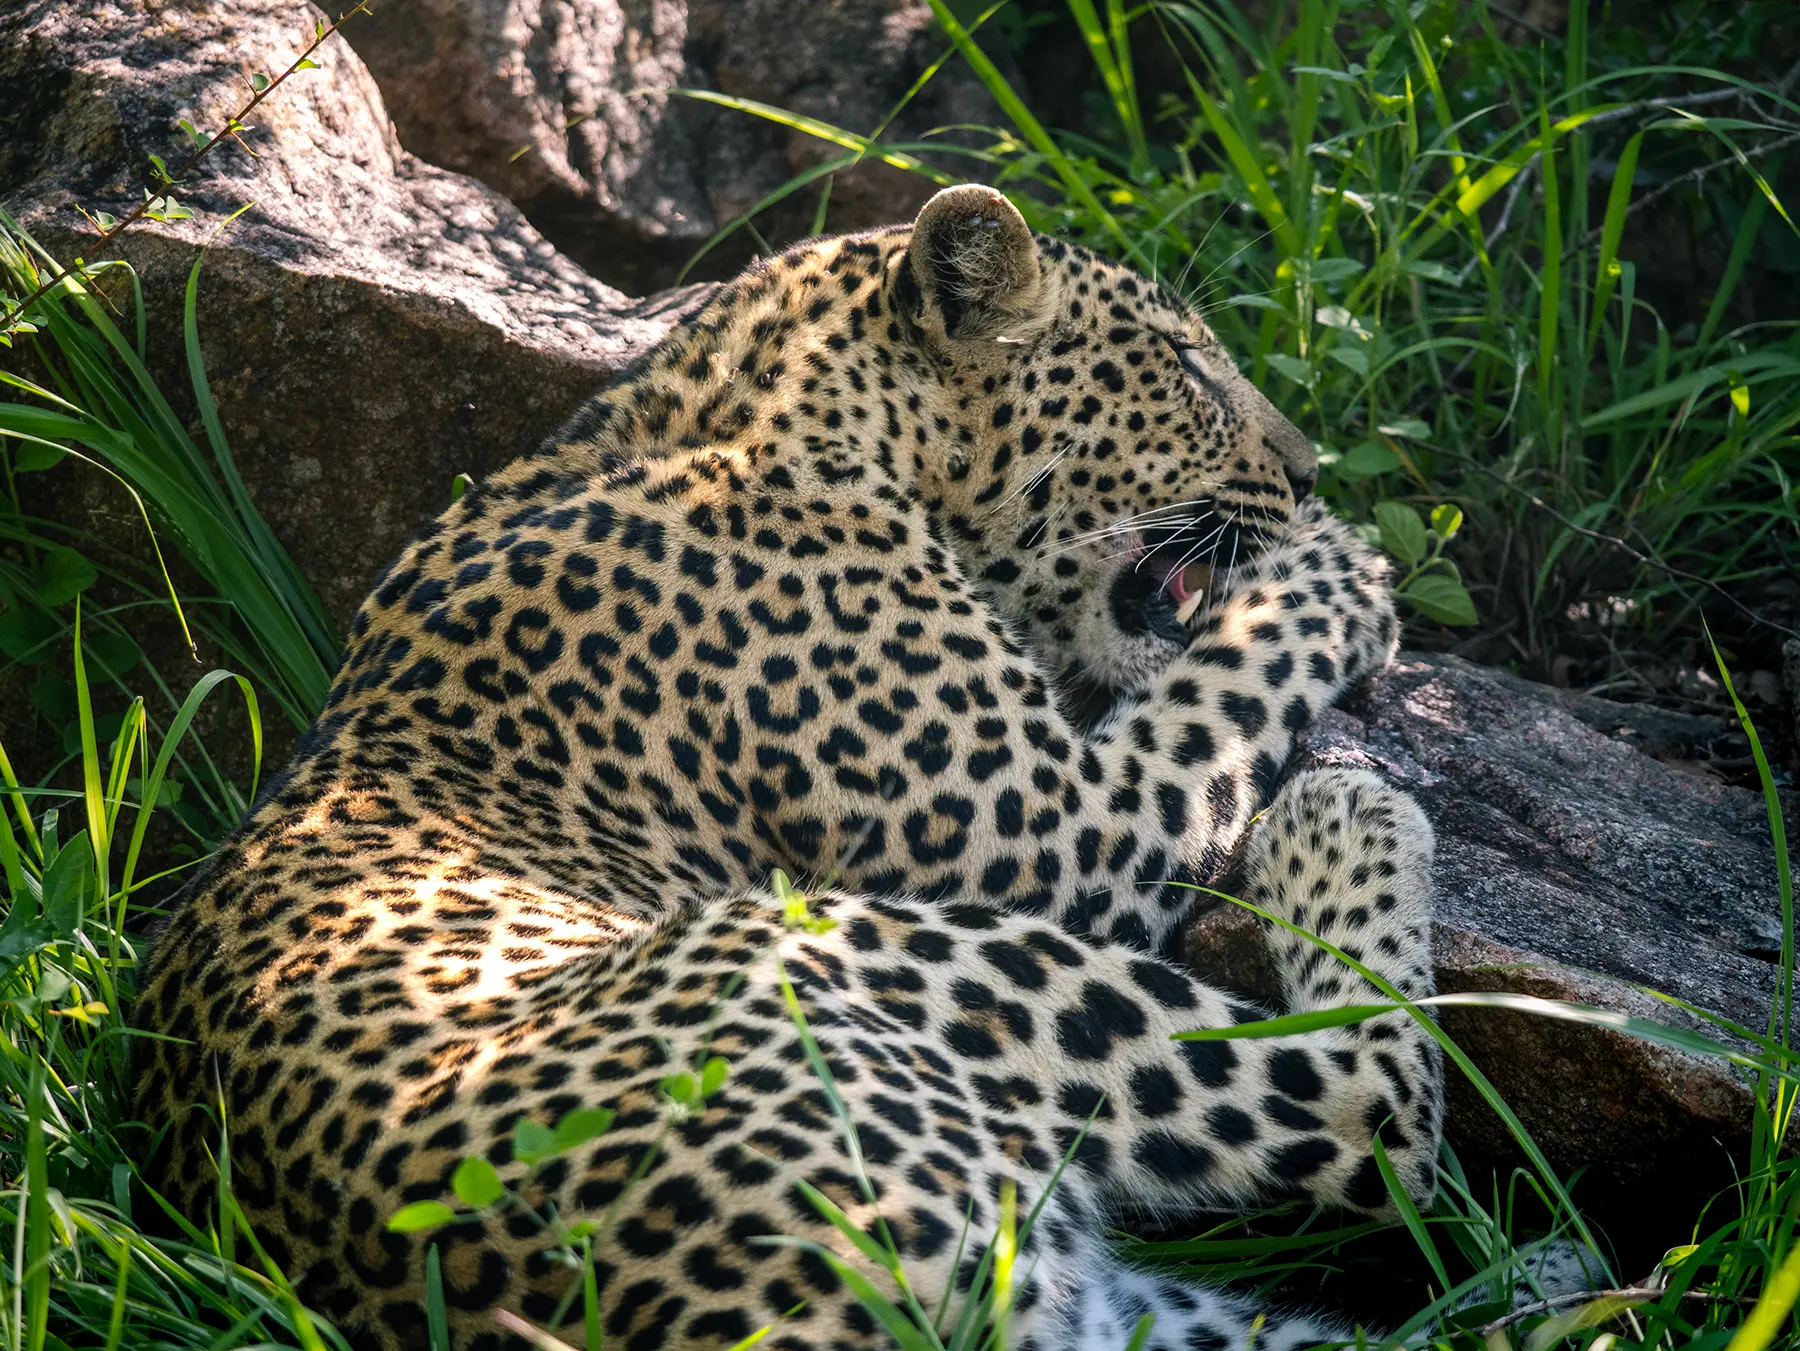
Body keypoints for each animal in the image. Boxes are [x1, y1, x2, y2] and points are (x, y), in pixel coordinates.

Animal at [132, 184, 1460, 1351]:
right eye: (1184, 363)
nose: (1310, 470)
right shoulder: (1066, 832)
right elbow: (1225, 682)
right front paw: (1339, 567)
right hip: (836, 942)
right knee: (1379, 1116)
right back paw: (1346, 823)